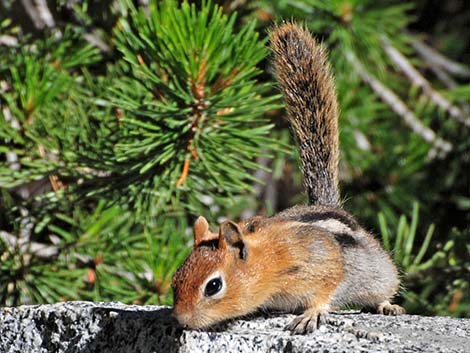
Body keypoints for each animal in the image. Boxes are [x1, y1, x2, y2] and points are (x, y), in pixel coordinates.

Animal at [171, 21, 406, 332]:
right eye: (175, 280)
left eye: (213, 286)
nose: (180, 320)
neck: (267, 263)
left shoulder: (320, 259)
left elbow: (327, 286)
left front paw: (312, 313)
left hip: (378, 273)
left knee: (384, 287)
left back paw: (387, 305)